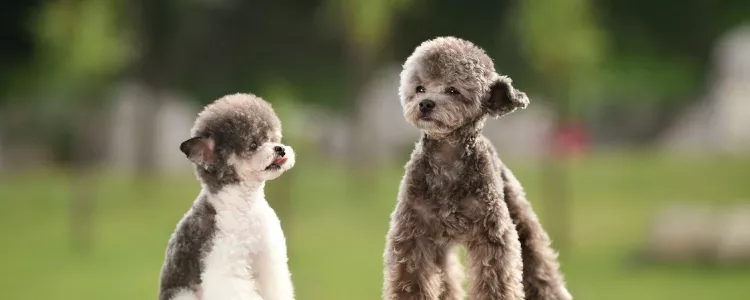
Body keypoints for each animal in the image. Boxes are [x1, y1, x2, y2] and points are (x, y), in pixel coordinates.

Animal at [159, 94, 296, 300]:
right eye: (253, 144)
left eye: (273, 138)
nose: (280, 149)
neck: (245, 207)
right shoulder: (226, 266)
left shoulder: (268, 261)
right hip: (184, 294)